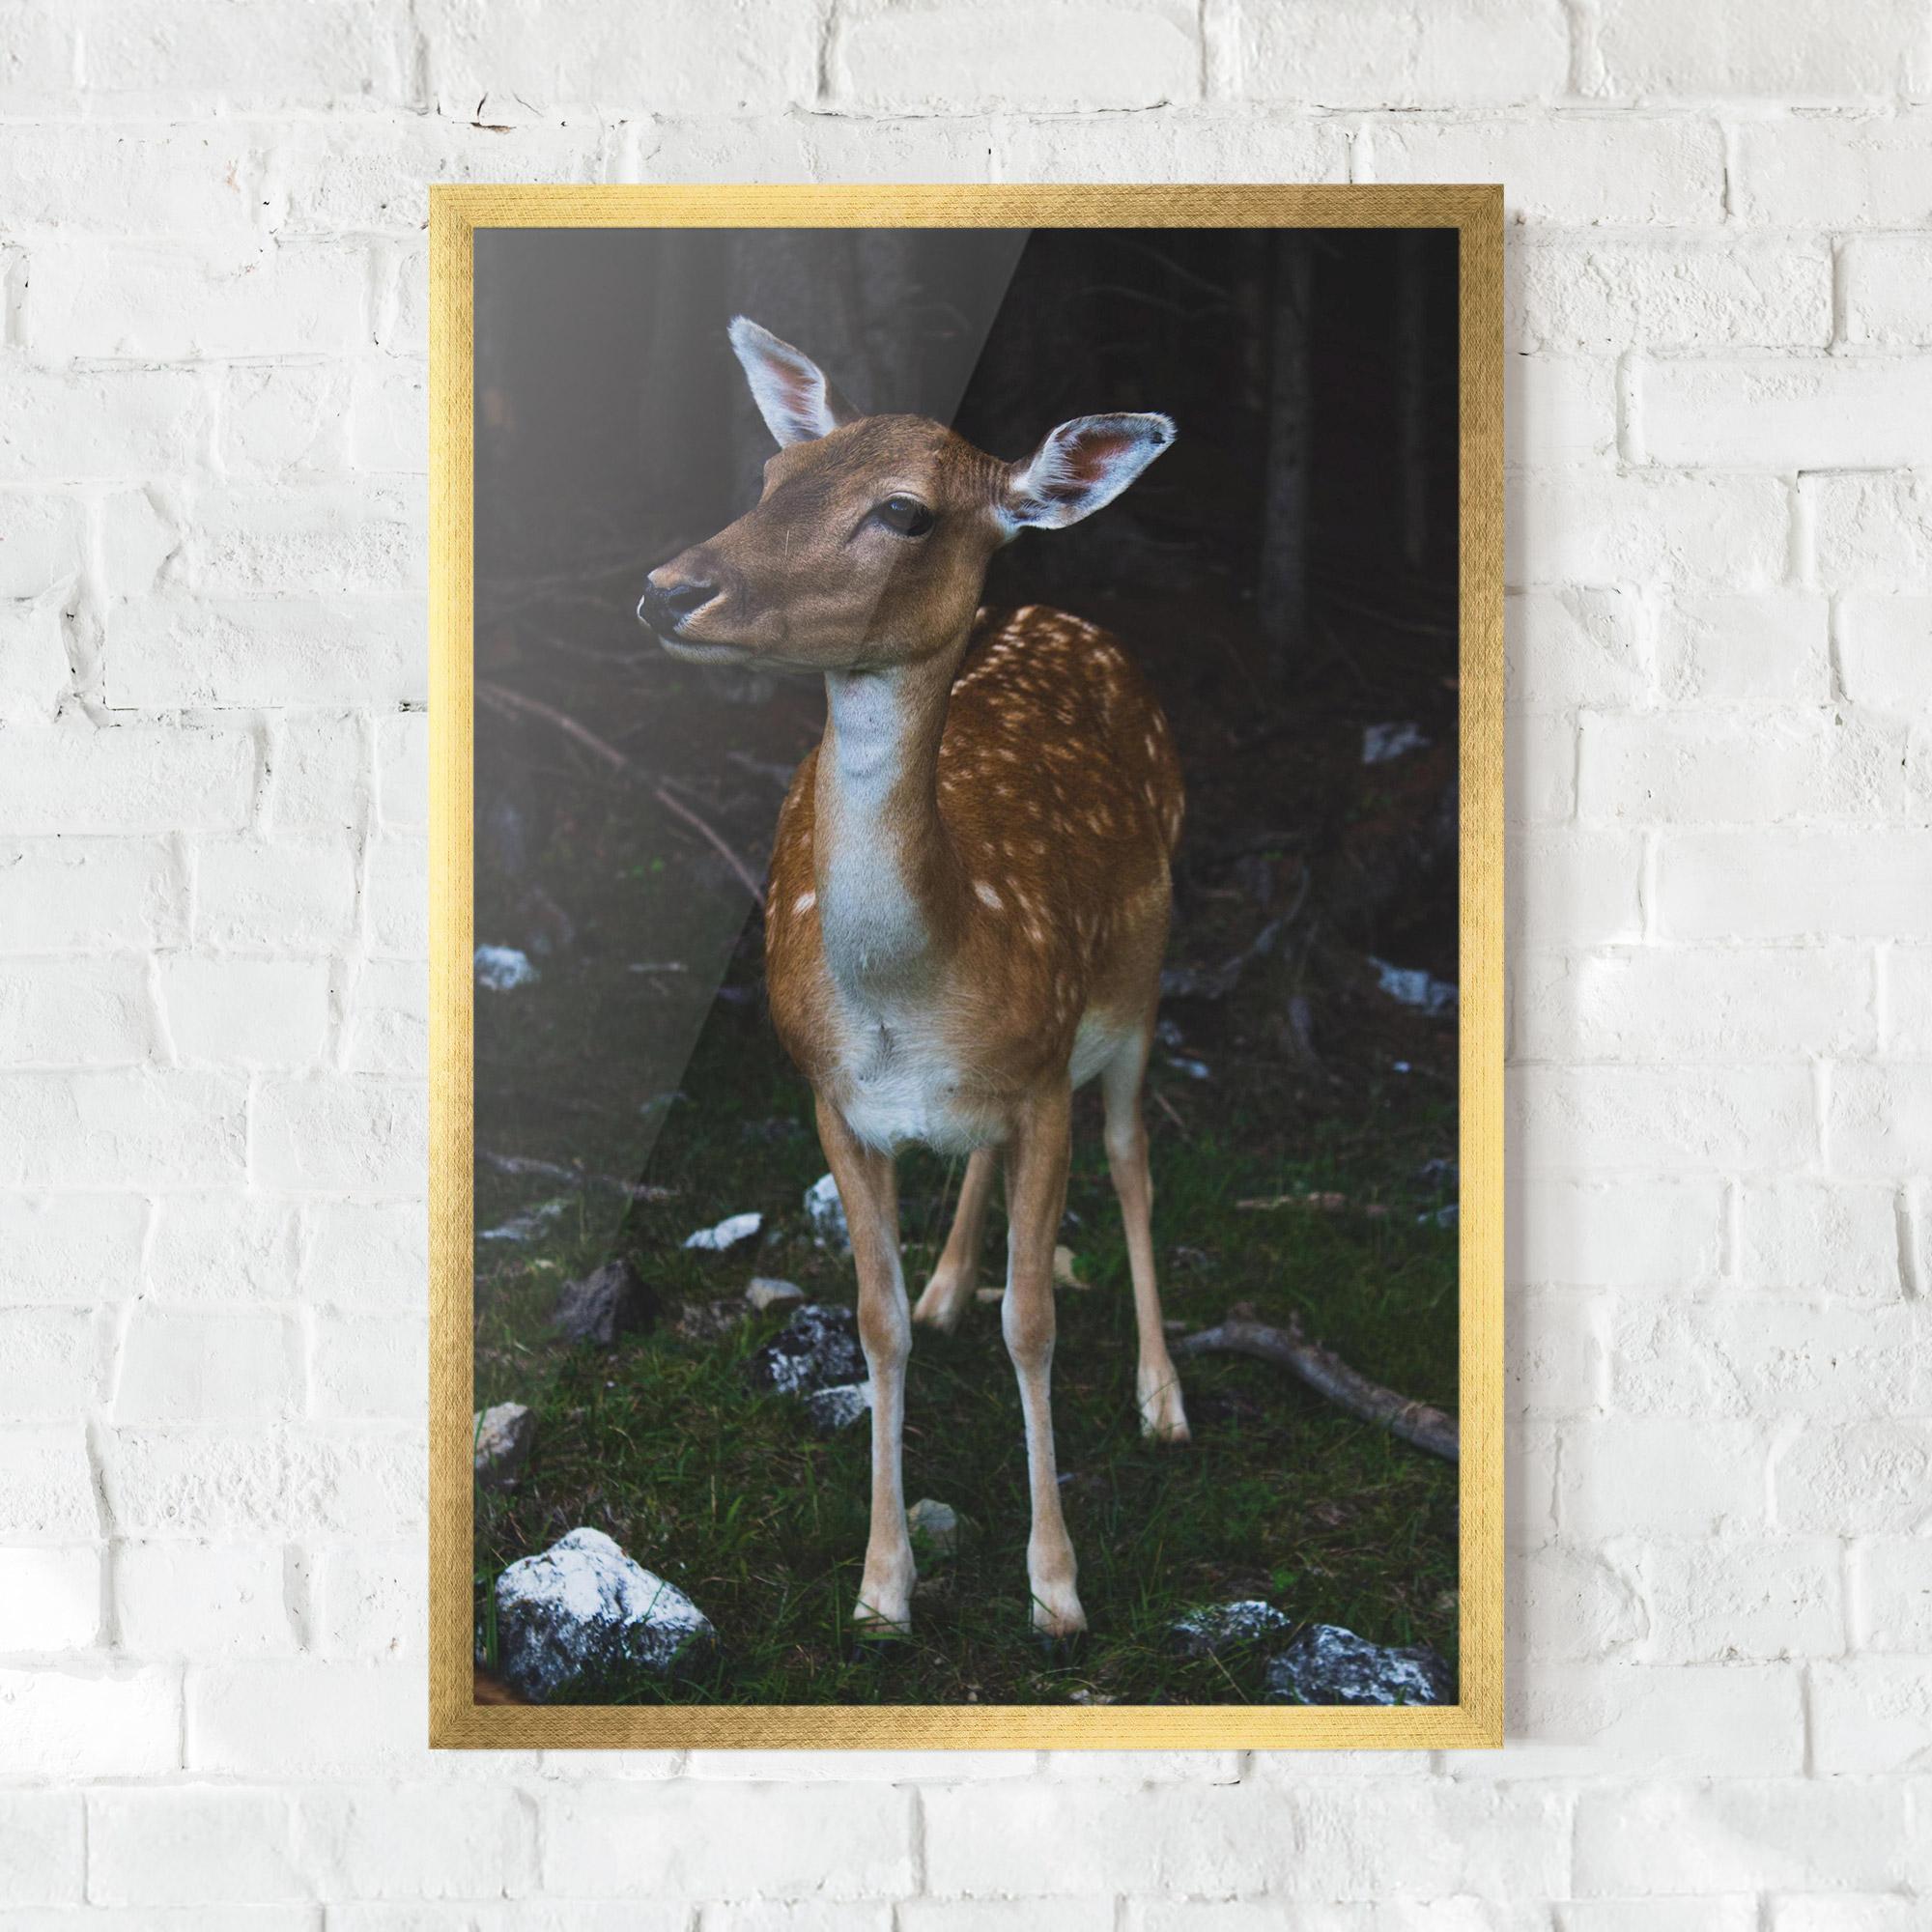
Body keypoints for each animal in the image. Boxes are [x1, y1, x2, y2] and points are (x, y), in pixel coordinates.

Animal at [636, 316, 1190, 1640]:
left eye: (903, 512)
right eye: (774, 475)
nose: (668, 587)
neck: (914, 988)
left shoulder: (1042, 1074)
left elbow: (1033, 1319)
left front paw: (1055, 1586)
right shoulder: (831, 1096)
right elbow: (872, 1320)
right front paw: (882, 1585)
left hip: (1139, 979)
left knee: (1131, 1154)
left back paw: (1162, 1398)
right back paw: (948, 1285)